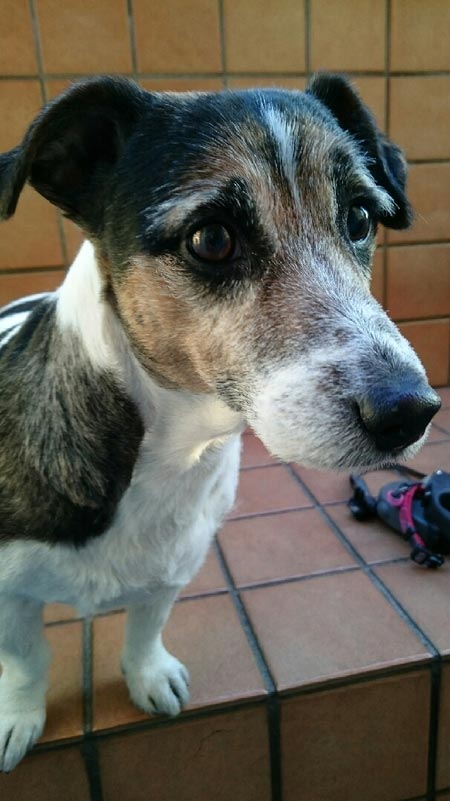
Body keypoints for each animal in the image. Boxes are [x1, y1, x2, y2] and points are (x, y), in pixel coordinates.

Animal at [0, 73, 441, 770]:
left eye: (360, 218)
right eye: (211, 238)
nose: (410, 411)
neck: (170, 456)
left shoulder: (172, 569)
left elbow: (145, 628)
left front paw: (148, 677)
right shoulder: (10, 599)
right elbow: (26, 662)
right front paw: (18, 717)